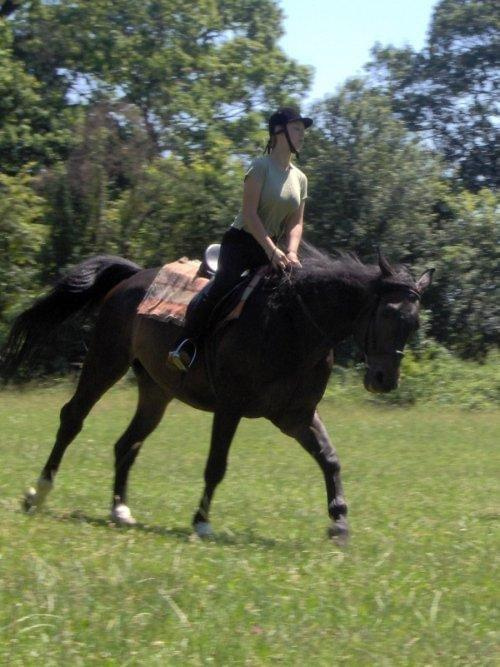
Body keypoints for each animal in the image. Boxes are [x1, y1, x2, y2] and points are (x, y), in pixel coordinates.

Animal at [0, 248, 432, 540]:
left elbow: (331, 460)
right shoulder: (230, 408)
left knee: (127, 443)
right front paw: (202, 522)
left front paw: (339, 523)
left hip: (156, 390)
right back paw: (37, 494)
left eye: (414, 323)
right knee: (73, 418)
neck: (292, 322)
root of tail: (133, 278)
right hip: (106, 361)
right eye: (388, 314)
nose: (384, 379)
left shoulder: (297, 416)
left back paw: (120, 509)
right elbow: (216, 466)